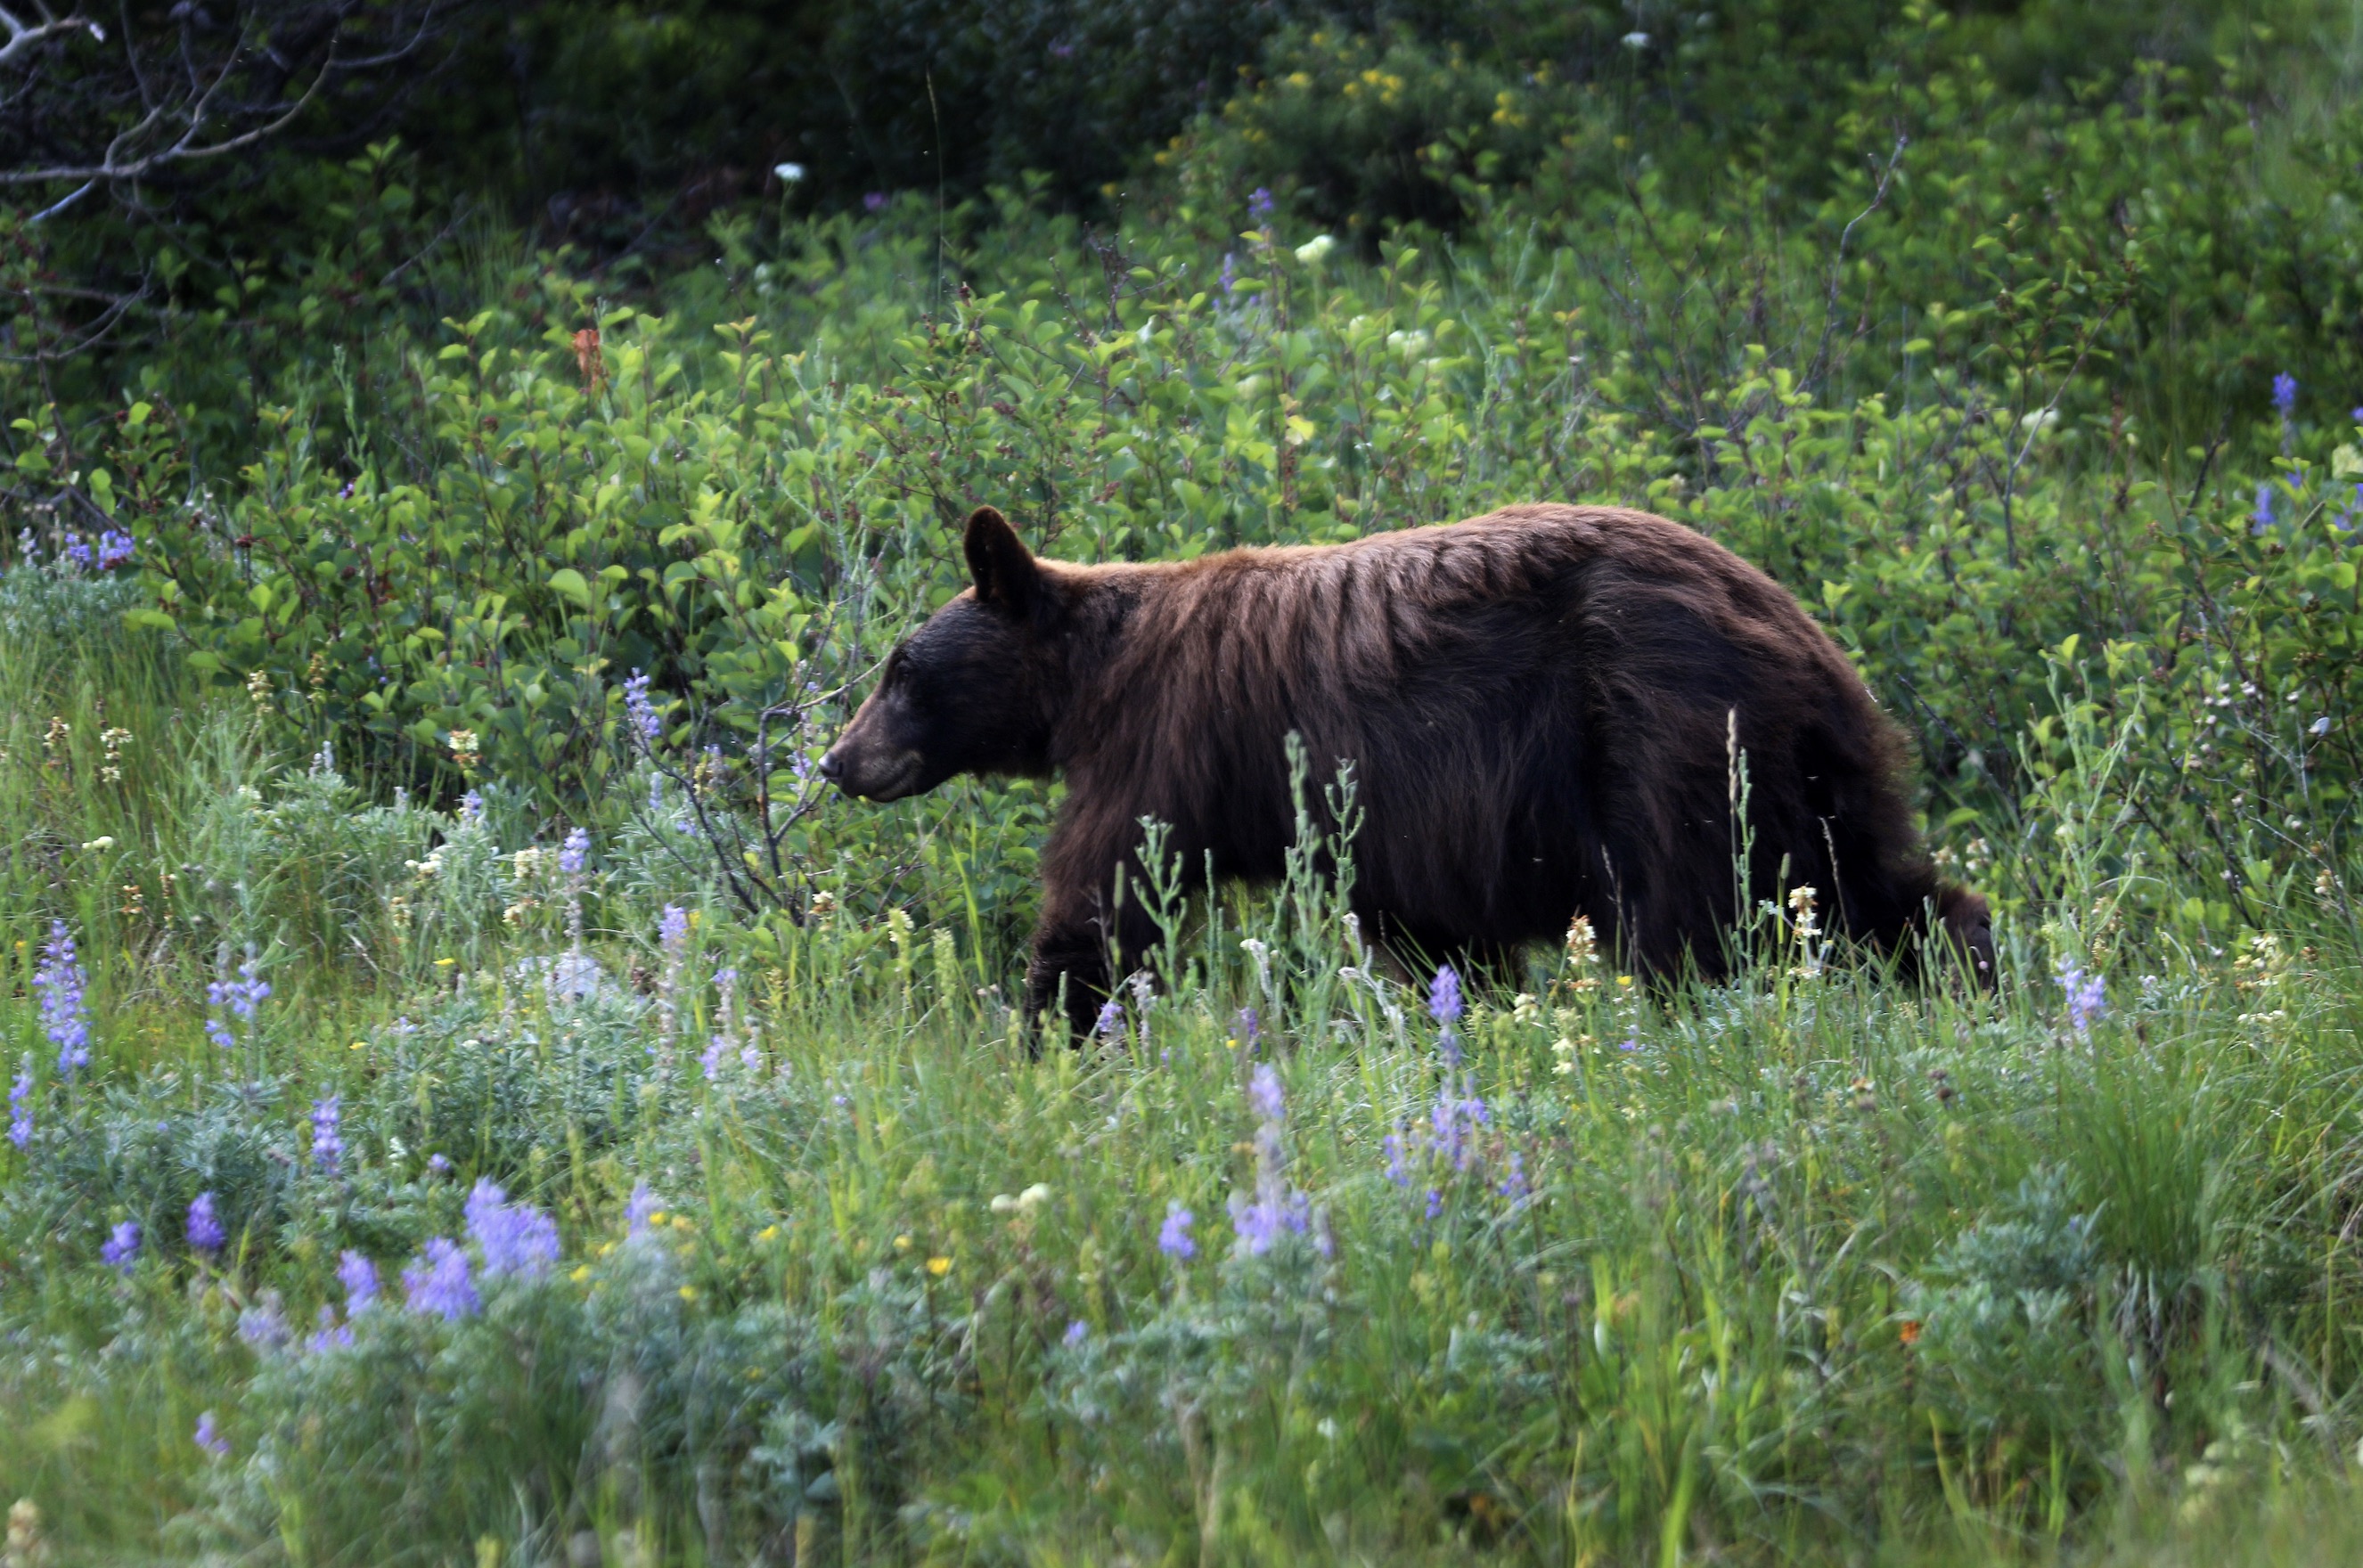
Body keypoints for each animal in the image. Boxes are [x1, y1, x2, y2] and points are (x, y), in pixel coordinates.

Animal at [819, 502, 1995, 1034]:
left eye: (899, 667)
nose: (836, 760)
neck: (1091, 678)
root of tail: (1788, 623)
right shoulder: (1409, 829)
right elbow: (1439, 932)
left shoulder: (1166, 745)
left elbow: (1107, 897)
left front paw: (1051, 1035)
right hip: (1809, 767)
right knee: (1878, 885)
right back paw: (1978, 979)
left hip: (1667, 738)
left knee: (1689, 915)